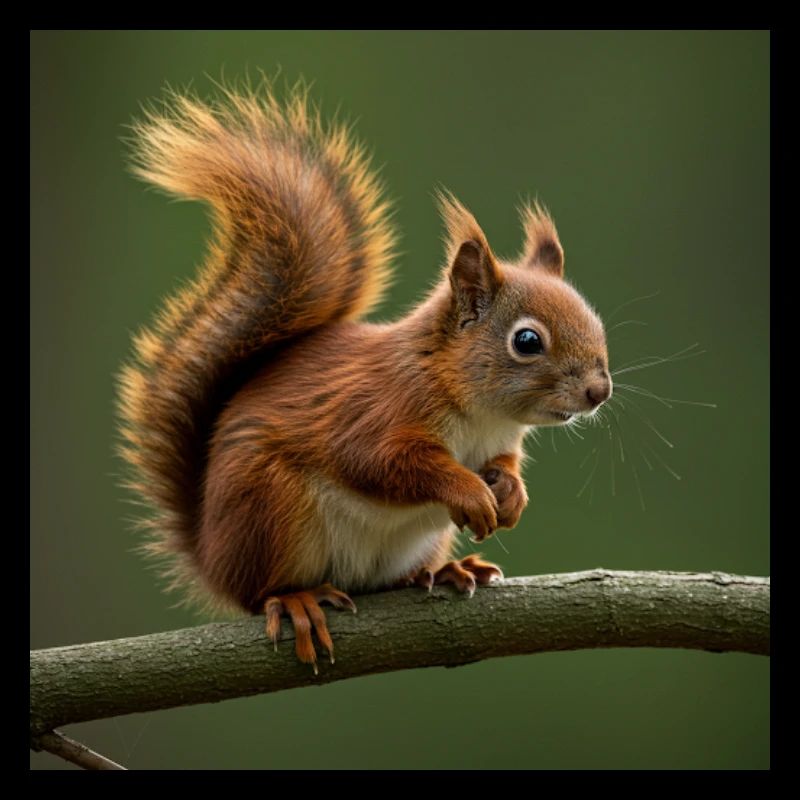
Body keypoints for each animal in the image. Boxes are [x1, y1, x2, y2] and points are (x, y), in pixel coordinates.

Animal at [118, 83, 612, 672]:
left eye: (598, 323)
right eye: (528, 341)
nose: (599, 391)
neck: (479, 412)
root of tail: (211, 555)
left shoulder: (499, 442)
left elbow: (504, 465)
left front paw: (511, 493)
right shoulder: (375, 411)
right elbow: (383, 463)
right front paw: (467, 490)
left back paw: (442, 571)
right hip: (271, 507)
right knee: (260, 591)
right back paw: (296, 600)